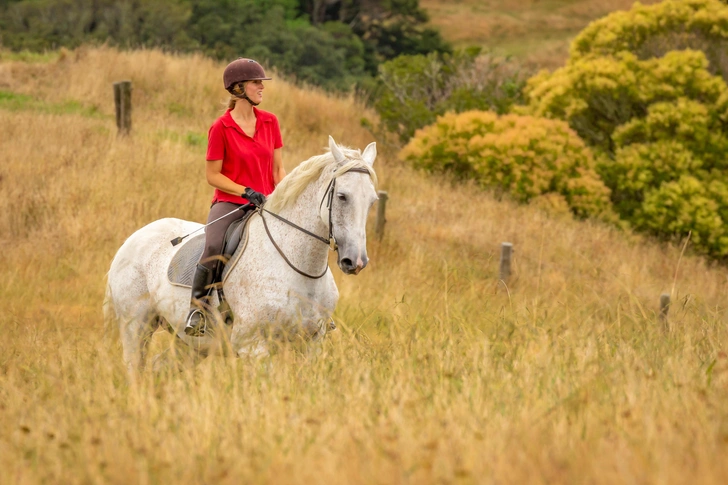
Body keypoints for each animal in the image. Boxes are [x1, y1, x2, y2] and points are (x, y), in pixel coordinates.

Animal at [105, 137, 378, 374]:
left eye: (373, 201)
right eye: (342, 197)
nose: (355, 261)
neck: (298, 266)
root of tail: (132, 240)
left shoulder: (312, 342)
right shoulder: (253, 346)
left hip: (189, 344)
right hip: (136, 326)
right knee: (134, 367)